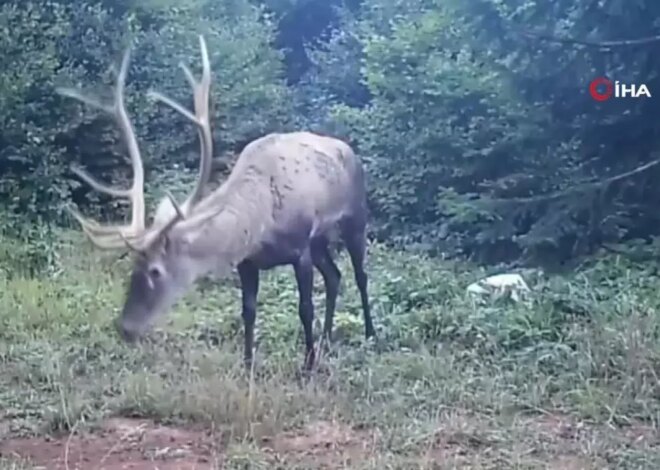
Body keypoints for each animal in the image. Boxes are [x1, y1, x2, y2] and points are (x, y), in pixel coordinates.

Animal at [55, 35, 376, 370]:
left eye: (156, 271)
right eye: (133, 265)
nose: (125, 328)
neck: (260, 224)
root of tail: (351, 152)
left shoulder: (300, 247)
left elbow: (305, 307)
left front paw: (308, 364)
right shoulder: (248, 261)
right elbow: (248, 311)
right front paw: (247, 365)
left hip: (355, 216)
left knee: (361, 275)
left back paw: (369, 334)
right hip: (320, 240)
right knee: (335, 276)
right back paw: (327, 337)